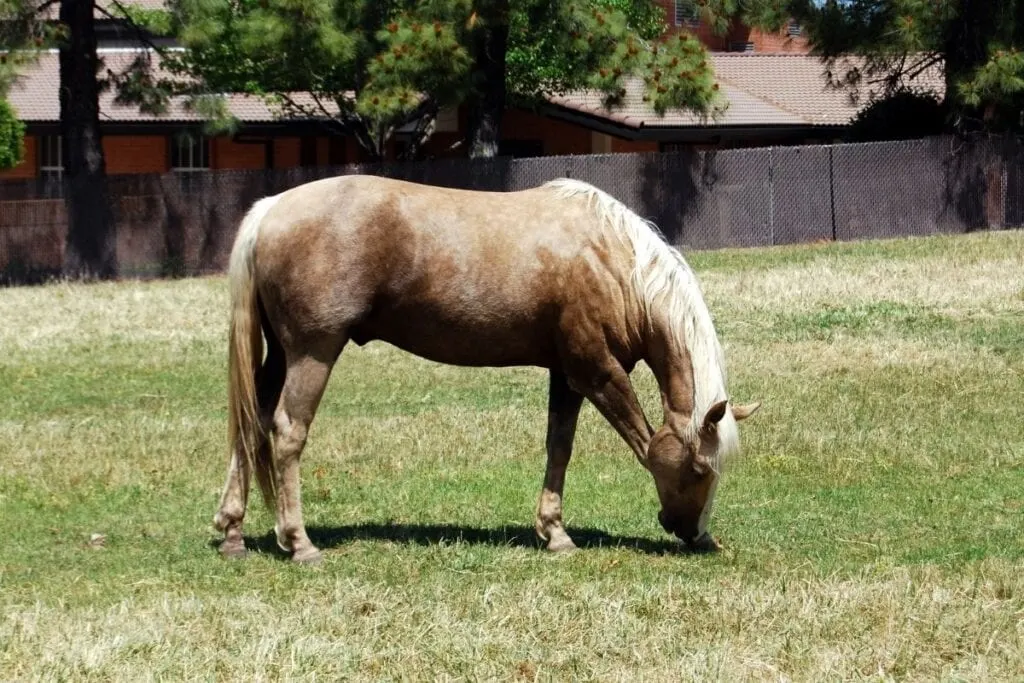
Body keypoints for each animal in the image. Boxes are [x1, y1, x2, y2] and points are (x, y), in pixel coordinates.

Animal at [214, 174, 761, 565]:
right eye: (698, 469)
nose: (697, 534)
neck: (613, 261)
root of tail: (270, 210)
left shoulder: (565, 375)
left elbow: (559, 447)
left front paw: (554, 532)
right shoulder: (595, 371)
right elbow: (643, 441)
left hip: (279, 357)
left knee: (250, 424)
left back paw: (232, 530)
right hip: (313, 352)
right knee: (287, 432)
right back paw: (299, 542)